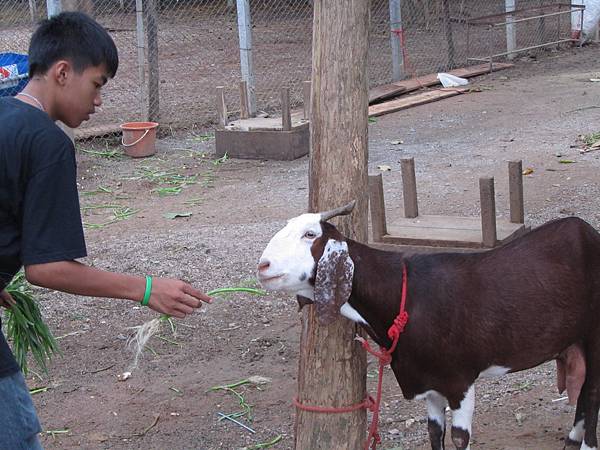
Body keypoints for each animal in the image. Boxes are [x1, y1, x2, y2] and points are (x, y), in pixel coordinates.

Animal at [256, 203, 600, 450]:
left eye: (310, 234)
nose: (263, 266)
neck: (404, 298)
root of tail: (586, 231)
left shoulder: (460, 381)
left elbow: (460, 438)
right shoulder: (429, 384)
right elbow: (434, 433)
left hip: (595, 335)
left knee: (592, 394)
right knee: (584, 391)